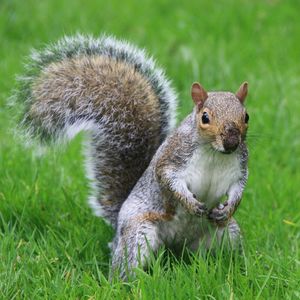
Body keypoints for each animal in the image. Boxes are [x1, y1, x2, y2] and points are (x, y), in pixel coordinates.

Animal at [13, 34, 248, 278]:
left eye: (246, 116)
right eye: (205, 117)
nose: (232, 142)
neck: (215, 153)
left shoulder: (239, 167)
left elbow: (238, 187)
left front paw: (229, 206)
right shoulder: (173, 157)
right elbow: (168, 179)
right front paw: (190, 203)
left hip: (227, 233)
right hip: (138, 233)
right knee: (125, 265)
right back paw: (131, 281)